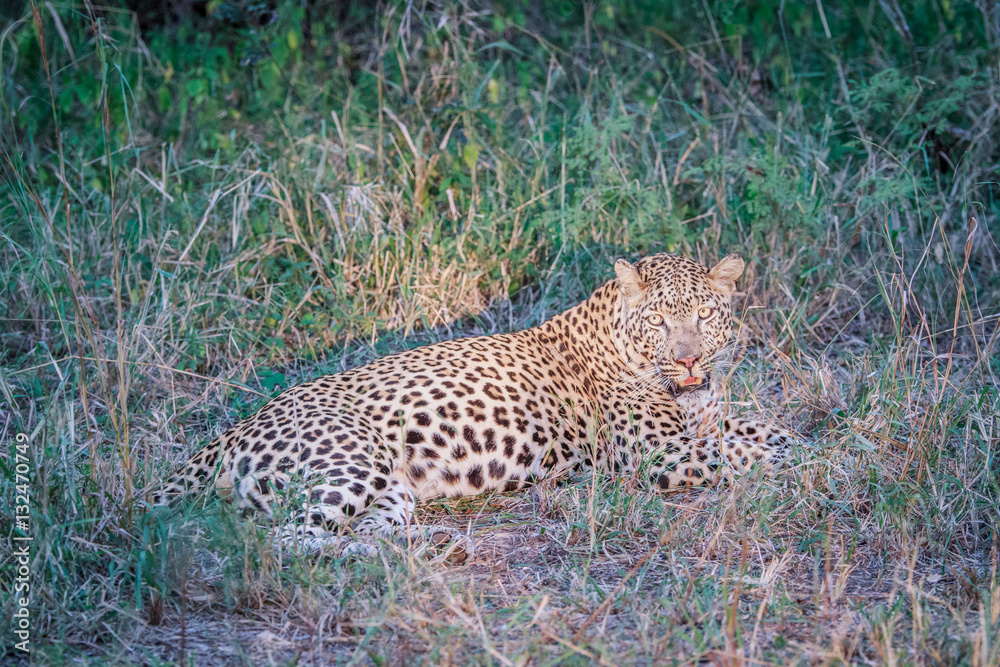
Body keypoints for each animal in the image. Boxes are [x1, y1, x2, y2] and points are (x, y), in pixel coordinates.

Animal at [153, 253, 792, 558]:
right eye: (659, 321)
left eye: (704, 314)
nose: (689, 361)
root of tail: (238, 426)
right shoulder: (660, 455)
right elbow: (746, 453)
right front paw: (803, 463)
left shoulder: (705, 423)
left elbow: (768, 430)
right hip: (350, 466)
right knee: (282, 541)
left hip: (393, 491)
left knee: (361, 532)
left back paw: (426, 549)